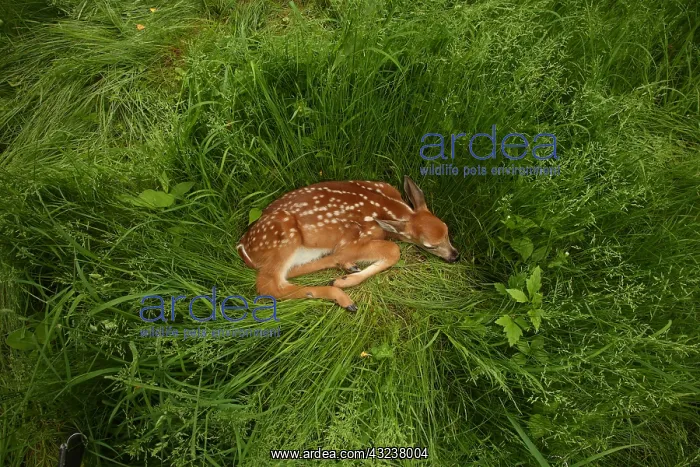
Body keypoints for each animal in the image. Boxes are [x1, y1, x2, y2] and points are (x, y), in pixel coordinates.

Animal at [236, 176, 459, 311]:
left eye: (447, 230)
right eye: (429, 245)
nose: (455, 256)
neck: (391, 207)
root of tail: (242, 246)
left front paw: (346, 272)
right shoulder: (355, 237)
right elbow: (394, 250)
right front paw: (345, 281)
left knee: (290, 272)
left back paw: (345, 268)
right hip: (284, 236)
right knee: (269, 286)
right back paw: (341, 294)